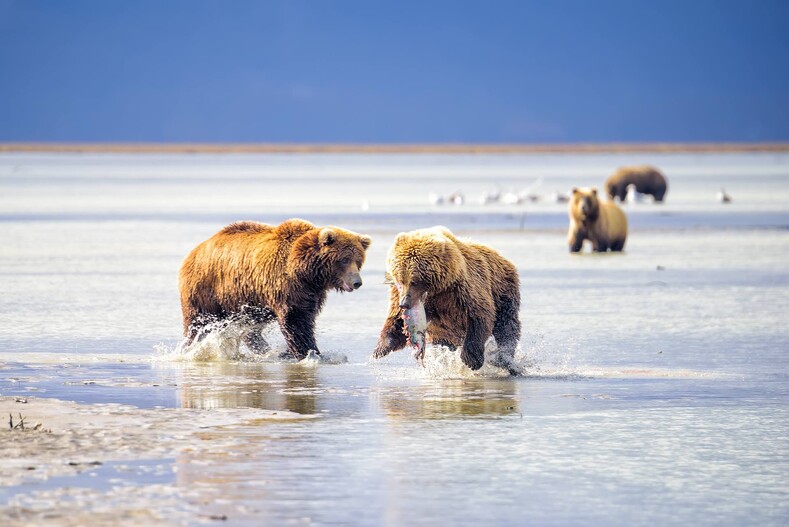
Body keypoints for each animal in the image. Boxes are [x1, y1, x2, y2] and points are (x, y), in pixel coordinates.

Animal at [179, 218, 372, 358]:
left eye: (358, 260)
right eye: (344, 259)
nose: (357, 282)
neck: (306, 272)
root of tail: (194, 251)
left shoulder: (312, 292)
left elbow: (306, 316)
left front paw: (292, 352)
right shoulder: (287, 286)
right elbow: (296, 320)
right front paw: (310, 352)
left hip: (244, 301)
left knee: (249, 329)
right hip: (206, 289)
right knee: (197, 324)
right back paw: (189, 347)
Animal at [372, 226, 520, 372]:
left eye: (414, 281)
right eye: (400, 280)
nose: (405, 304)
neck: (438, 289)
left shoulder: (463, 289)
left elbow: (479, 314)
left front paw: (471, 359)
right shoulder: (400, 294)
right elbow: (396, 319)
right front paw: (380, 349)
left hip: (503, 290)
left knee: (507, 326)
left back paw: (505, 359)